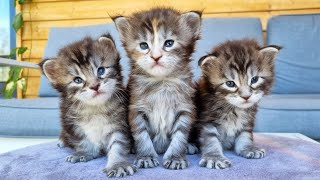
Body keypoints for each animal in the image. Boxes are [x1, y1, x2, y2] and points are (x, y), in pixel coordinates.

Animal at [39, 34, 136, 178]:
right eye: (78, 80)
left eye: (101, 70)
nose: (95, 86)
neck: (95, 108)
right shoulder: (72, 123)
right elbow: (83, 141)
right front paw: (85, 153)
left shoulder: (120, 123)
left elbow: (118, 145)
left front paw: (117, 164)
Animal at [112, 7, 200, 170]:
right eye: (144, 45)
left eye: (169, 43)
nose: (156, 57)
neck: (161, 83)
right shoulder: (136, 109)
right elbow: (142, 135)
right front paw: (146, 156)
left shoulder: (185, 108)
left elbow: (180, 135)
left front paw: (176, 158)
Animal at [196, 39, 282, 169]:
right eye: (230, 84)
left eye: (254, 79)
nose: (246, 96)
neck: (233, 109)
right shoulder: (207, 119)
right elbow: (210, 139)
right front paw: (214, 157)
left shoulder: (247, 119)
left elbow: (245, 135)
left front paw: (249, 148)